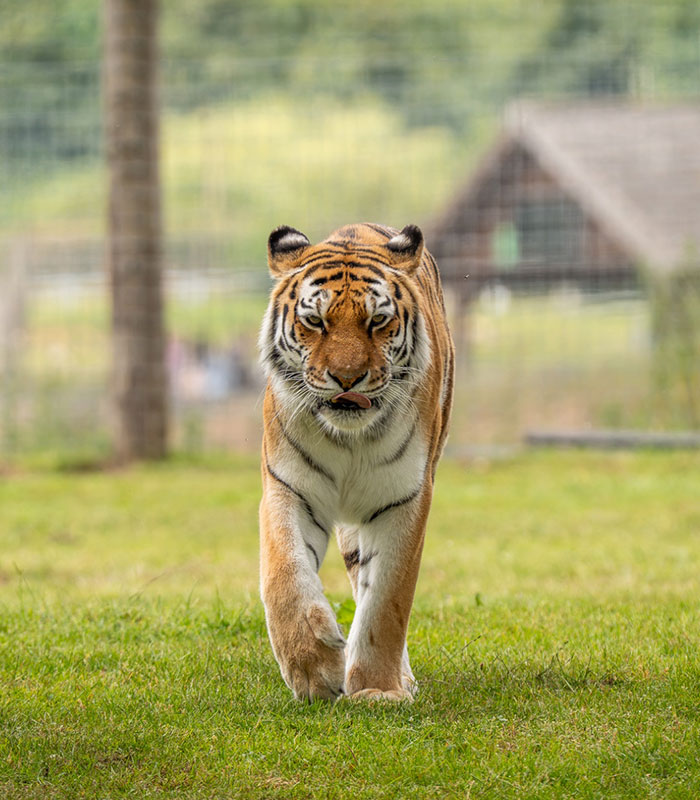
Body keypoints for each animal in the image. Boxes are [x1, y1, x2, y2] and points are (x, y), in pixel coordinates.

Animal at [259, 222, 454, 702]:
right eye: (315, 321)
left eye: (377, 321)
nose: (347, 379)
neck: (348, 437)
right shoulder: (288, 487)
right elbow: (284, 574)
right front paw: (313, 670)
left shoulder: (404, 498)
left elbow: (386, 601)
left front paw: (378, 690)